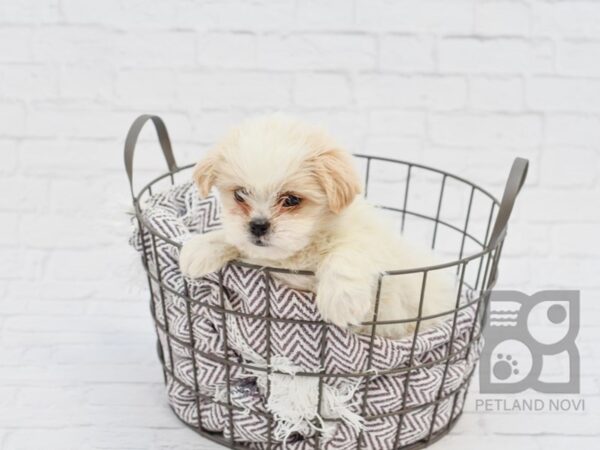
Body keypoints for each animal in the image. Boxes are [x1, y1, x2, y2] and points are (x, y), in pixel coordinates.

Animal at [178, 116, 454, 338]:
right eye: (239, 195)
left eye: (291, 200)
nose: (258, 226)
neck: (303, 249)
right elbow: (232, 238)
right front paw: (200, 248)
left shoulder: (371, 248)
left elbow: (348, 253)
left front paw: (341, 299)